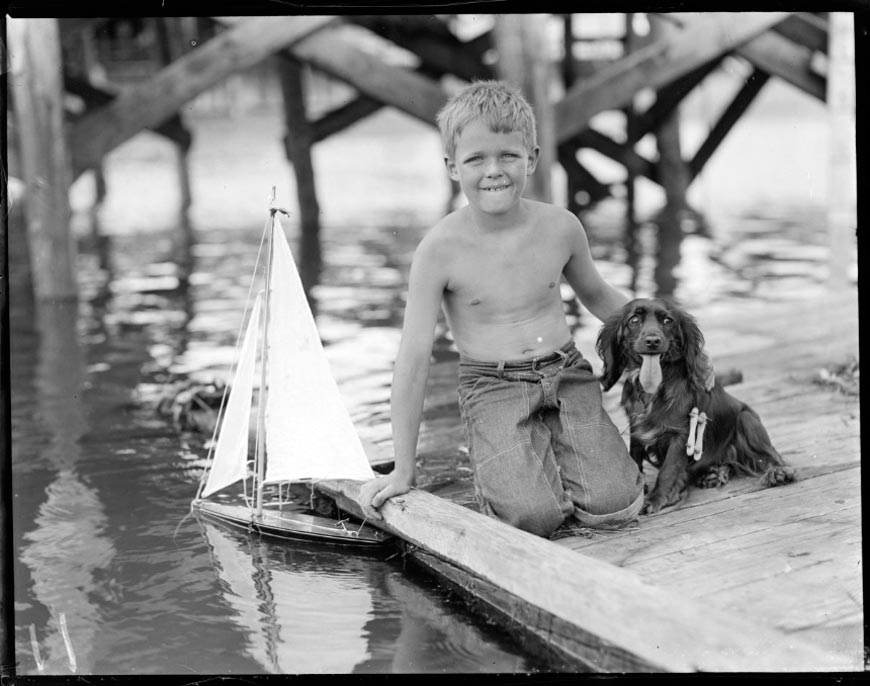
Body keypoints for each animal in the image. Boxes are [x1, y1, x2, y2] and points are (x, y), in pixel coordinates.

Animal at [600, 298, 796, 512]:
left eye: (668, 321)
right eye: (634, 319)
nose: (652, 341)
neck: (654, 389)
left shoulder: (681, 434)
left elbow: (669, 469)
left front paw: (656, 499)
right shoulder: (637, 427)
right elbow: (635, 457)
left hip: (746, 419)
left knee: (769, 455)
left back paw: (778, 472)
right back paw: (714, 473)